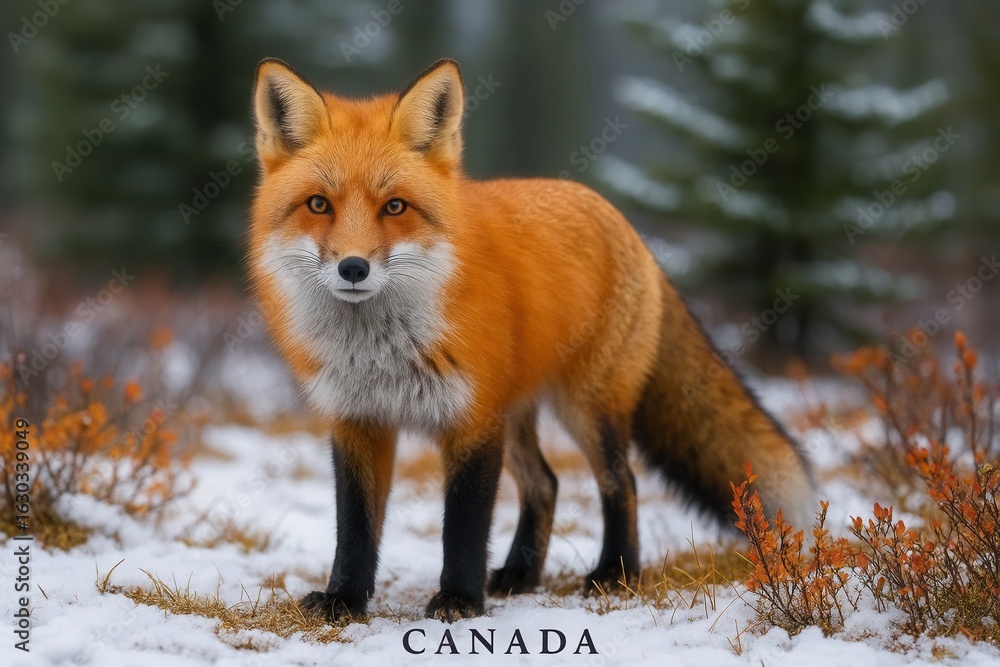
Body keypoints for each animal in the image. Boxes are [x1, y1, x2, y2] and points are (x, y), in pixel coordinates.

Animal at [247, 57, 813, 623]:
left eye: (394, 207)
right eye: (318, 204)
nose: (353, 268)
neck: (380, 351)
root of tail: (626, 225)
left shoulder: (473, 420)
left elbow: (465, 525)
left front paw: (459, 598)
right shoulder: (358, 420)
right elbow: (355, 526)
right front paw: (344, 598)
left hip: (586, 406)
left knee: (621, 481)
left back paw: (615, 573)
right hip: (517, 413)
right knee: (546, 482)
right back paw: (522, 573)